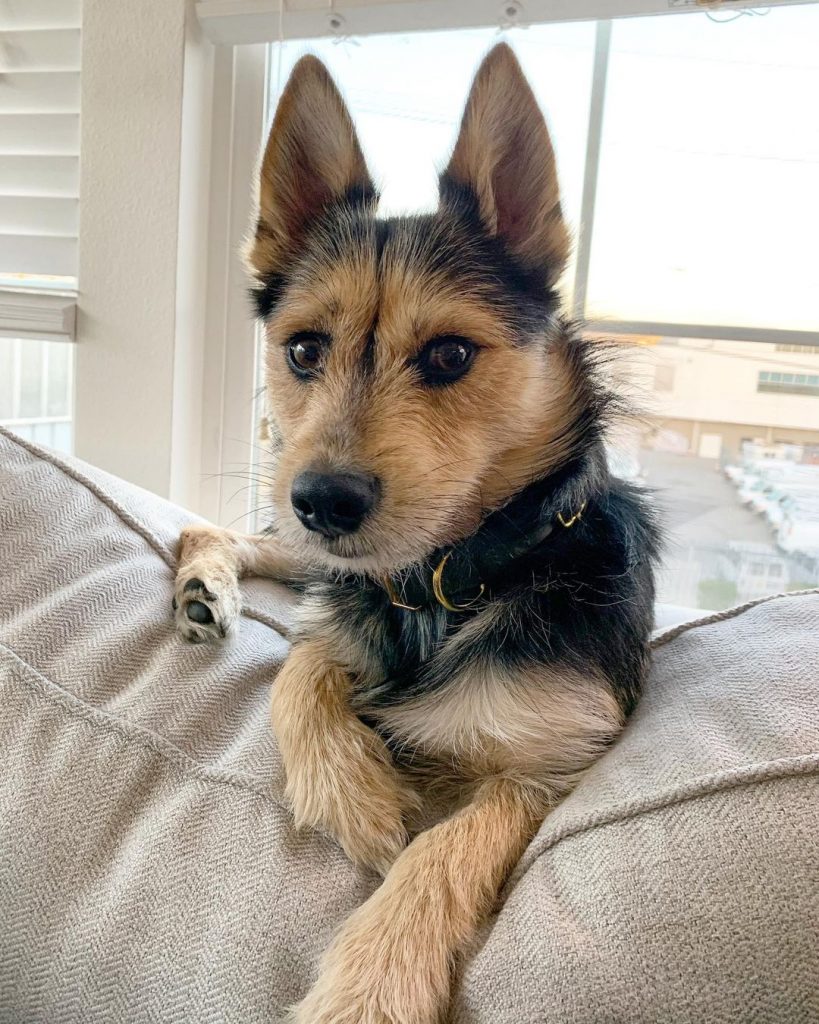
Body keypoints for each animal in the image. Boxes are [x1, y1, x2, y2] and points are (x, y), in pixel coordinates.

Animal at [173, 44, 659, 1024]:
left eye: (448, 355)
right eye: (303, 350)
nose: (323, 500)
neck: (442, 583)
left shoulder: (554, 766)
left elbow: (449, 844)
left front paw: (369, 983)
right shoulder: (339, 599)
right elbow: (300, 669)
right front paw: (356, 793)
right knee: (246, 540)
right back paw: (205, 583)